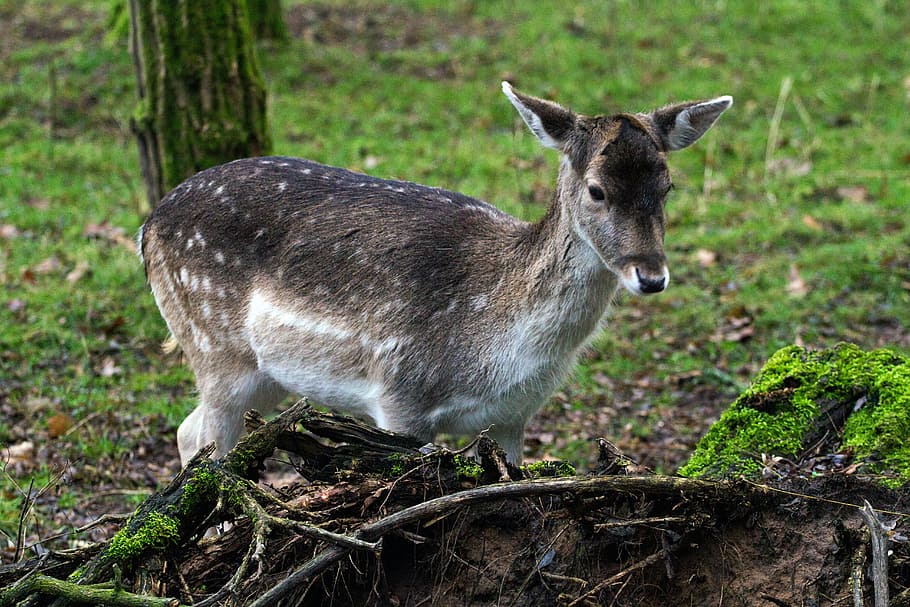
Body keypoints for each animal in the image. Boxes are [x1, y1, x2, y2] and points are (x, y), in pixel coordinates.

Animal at [139, 82, 732, 467]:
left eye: (668, 187)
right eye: (596, 190)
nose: (650, 275)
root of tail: (147, 226)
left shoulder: (514, 416)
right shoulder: (400, 395)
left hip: (266, 374)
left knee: (189, 431)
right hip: (212, 344)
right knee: (208, 444)